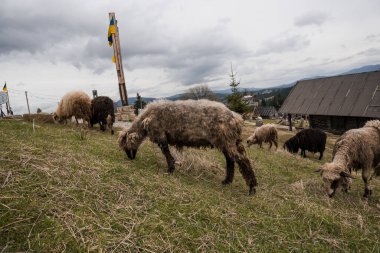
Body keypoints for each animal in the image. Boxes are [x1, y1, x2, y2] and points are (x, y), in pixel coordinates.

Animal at [118, 100, 258, 195]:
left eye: (125, 146)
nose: (130, 158)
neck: (145, 120)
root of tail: (236, 118)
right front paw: (172, 168)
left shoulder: (161, 136)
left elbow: (166, 154)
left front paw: (170, 169)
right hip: (227, 142)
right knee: (231, 160)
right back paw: (227, 181)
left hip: (227, 140)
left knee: (242, 160)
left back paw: (252, 188)